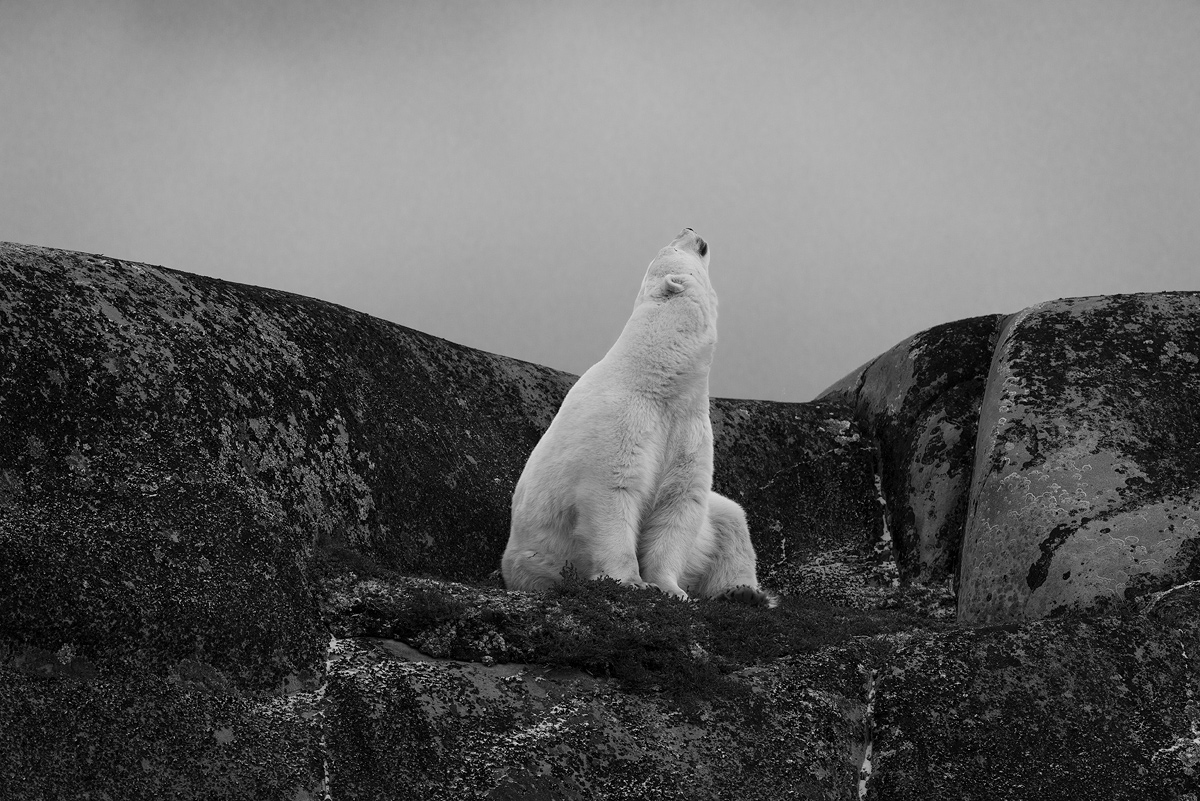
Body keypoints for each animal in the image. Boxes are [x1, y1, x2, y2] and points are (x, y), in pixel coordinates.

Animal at [502, 228, 776, 607]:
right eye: (672, 248)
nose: (689, 229)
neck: (657, 381)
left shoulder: (687, 428)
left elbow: (680, 502)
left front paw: (670, 587)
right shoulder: (622, 421)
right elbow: (612, 492)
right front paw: (631, 581)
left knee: (732, 518)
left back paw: (742, 592)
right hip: (531, 559)